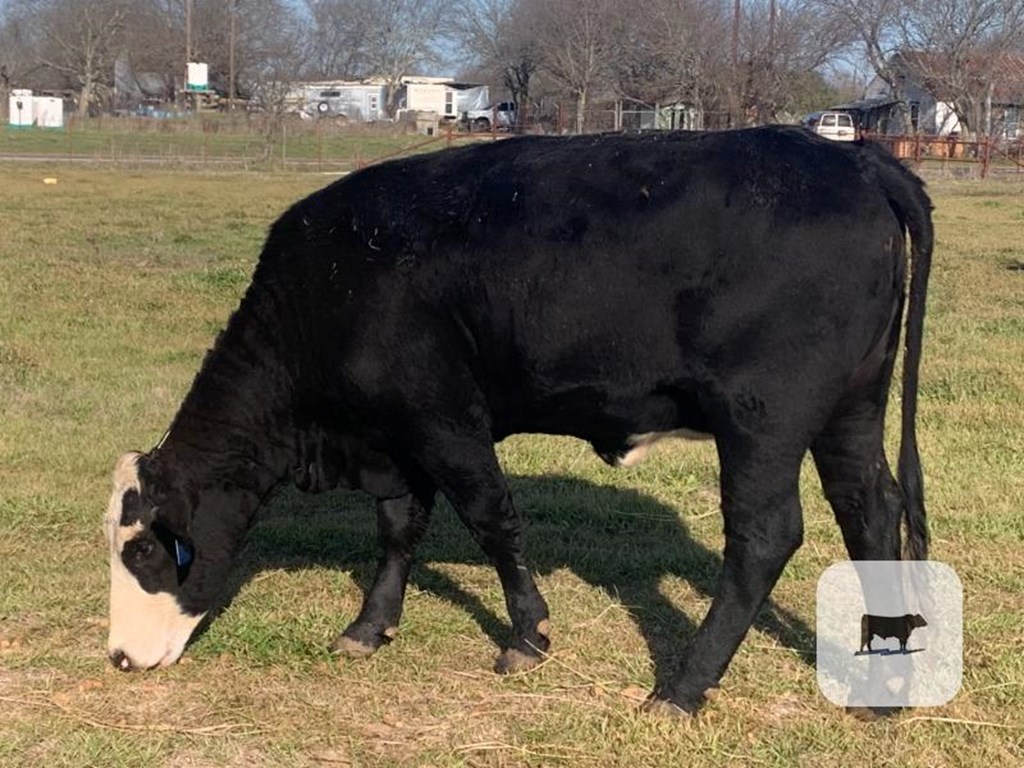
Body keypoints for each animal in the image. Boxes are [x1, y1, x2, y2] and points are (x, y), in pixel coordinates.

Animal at [105, 124, 937, 716]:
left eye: (144, 551)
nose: (117, 658)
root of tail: (851, 160)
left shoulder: (445, 421)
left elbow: (492, 520)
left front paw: (528, 637)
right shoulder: (397, 439)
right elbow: (398, 529)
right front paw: (369, 627)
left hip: (761, 420)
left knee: (766, 537)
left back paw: (681, 688)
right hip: (852, 409)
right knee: (871, 510)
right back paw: (885, 686)